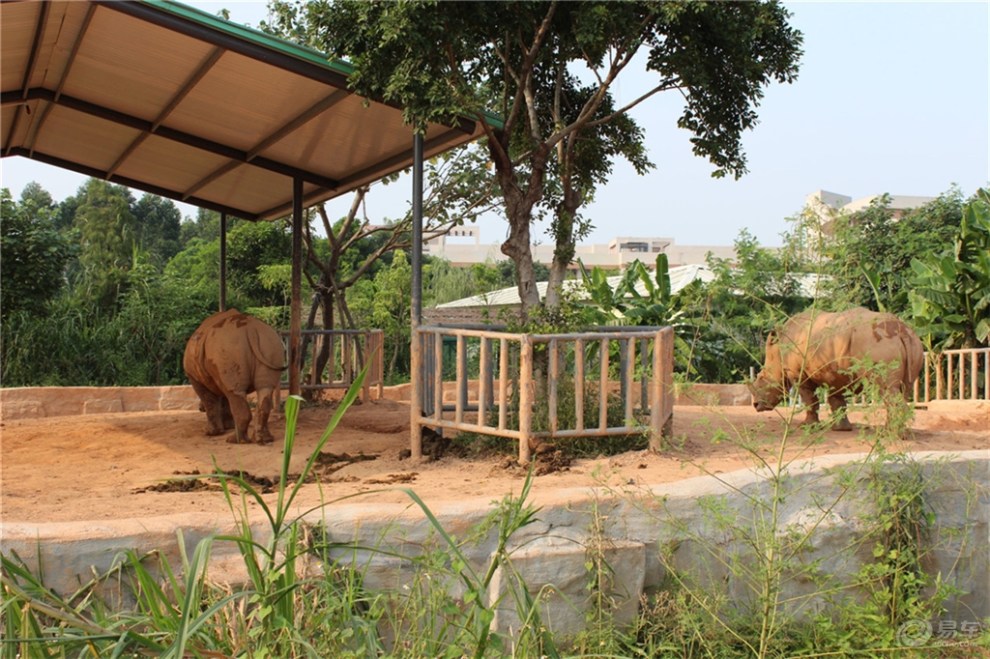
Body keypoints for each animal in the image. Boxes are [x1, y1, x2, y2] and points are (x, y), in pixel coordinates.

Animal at [184, 312, 284, 446]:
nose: (199, 408)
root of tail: (251, 329)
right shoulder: (219, 377)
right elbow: (225, 400)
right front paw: (228, 426)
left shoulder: (195, 378)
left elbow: (209, 401)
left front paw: (210, 432)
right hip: (270, 343)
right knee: (264, 389)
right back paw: (264, 440)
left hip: (228, 348)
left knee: (235, 392)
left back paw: (234, 441)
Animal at [756, 310, 928, 434]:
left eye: (761, 378)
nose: (756, 405)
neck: (778, 350)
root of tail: (902, 331)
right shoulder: (834, 372)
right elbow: (836, 400)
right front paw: (841, 429)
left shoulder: (799, 375)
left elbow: (810, 400)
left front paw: (807, 428)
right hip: (913, 344)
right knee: (905, 389)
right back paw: (897, 433)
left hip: (880, 343)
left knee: (887, 390)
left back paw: (891, 434)